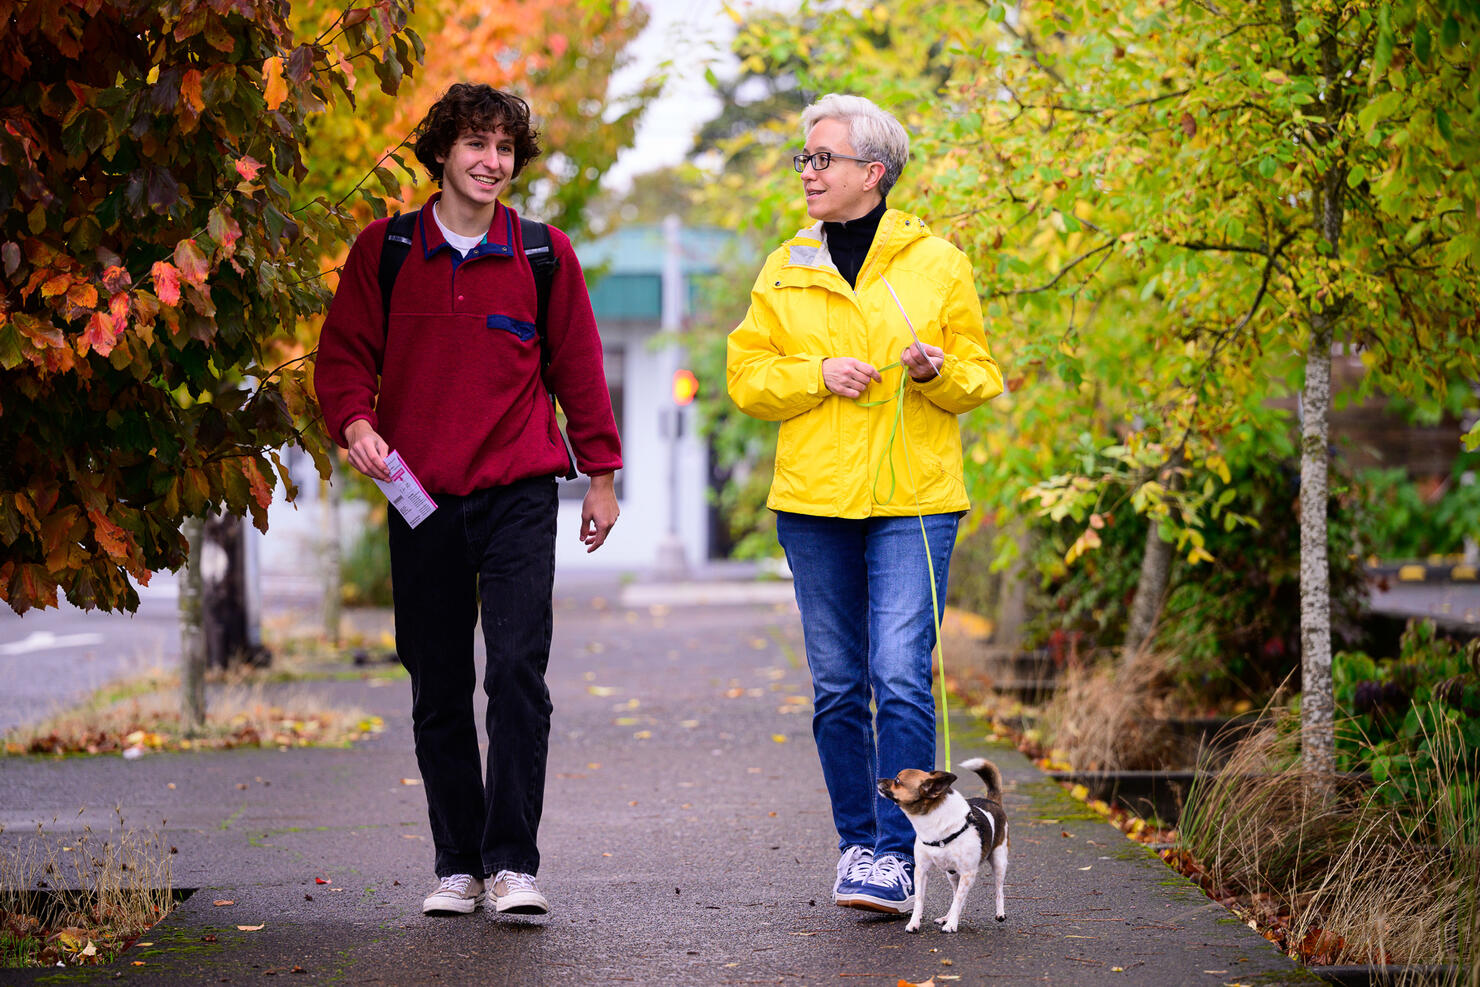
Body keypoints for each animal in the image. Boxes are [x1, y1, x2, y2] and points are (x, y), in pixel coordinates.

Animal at [876, 757, 1006, 935]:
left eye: (897, 781)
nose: (878, 779)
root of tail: (992, 801)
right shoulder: (921, 871)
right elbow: (920, 900)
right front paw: (914, 923)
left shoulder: (968, 874)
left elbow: (958, 900)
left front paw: (951, 925)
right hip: (952, 874)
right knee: (955, 893)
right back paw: (946, 917)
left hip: (999, 861)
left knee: (998, 888)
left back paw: (1000, 913)